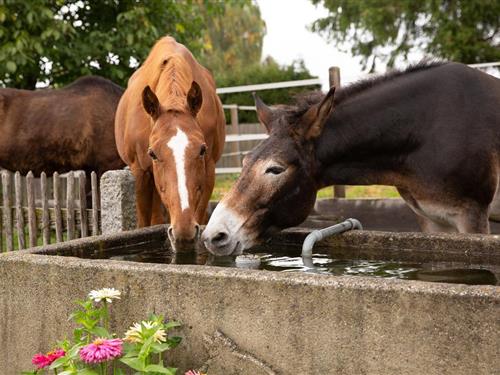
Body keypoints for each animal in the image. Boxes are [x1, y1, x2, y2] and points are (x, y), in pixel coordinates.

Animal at [115, 36, 225, 253]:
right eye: (152, 153)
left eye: (202, 150)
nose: (183, 232)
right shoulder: (140, 172)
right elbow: (143, 223)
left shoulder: (208, 171)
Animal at [202, 62, 500, 256]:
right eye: (244, 162)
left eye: (275, 169)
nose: (212, 236)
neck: (424, 132)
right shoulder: (431, 218)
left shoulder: (471, 215)